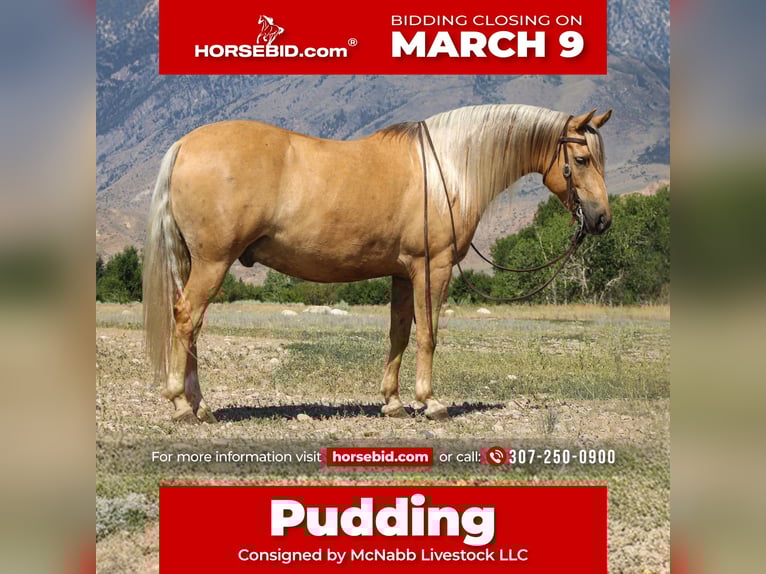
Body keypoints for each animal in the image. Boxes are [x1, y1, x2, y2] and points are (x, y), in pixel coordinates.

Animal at [142, 104, 612, 423]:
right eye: (582, 159)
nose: (602, 219)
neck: (448, 170)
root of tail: (185, 144)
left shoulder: (403, 273)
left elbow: (399, 334)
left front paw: (394, 402)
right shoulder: (433, 268)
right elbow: (429, 335)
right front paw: (430, 402)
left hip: (197, 264)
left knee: (193, 326)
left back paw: (200, 406)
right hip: (213, 262)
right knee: (187, 319)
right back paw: (183, 405)